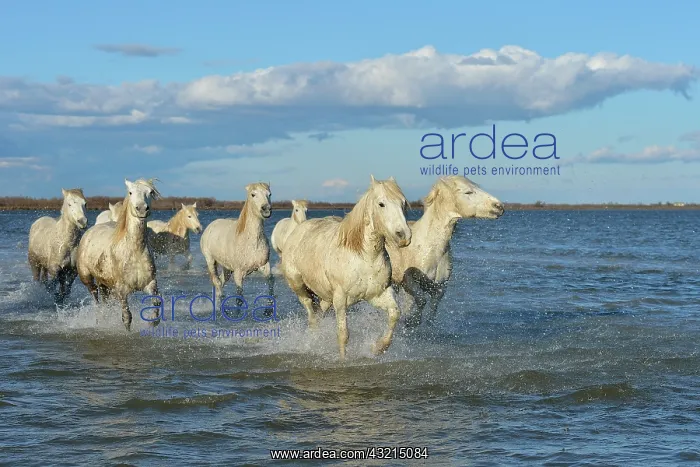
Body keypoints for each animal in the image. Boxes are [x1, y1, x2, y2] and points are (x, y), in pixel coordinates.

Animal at [76, 178, 162, 330]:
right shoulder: (122, 290)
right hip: (87, 278)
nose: (141, 209)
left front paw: (152, 323)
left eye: (150, 192)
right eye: (130, 192)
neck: (135, 251)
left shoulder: (150, 284)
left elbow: (156, 306)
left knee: (104, 301)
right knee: (96, 299)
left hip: (103, 283)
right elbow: (127, 317)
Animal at [280, 175, 411, 359]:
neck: (364, 256)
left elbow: (394, 314)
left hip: (326, 297)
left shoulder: (378, 294)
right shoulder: (341, 300)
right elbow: (343, 334)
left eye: (403, 203)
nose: (403, 236)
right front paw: (343, 360)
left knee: (319, 313)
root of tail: (298, 230)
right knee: (311, 315)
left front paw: (378, 348)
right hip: (299, 286)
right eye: (381, 204)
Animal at [385, 175, 504, 328]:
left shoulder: (439, 288)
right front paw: (411, 320)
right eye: (468, 192)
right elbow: (419, 301)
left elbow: (431, 313)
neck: (430, 248)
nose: (499, 206)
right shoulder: (407, 282)